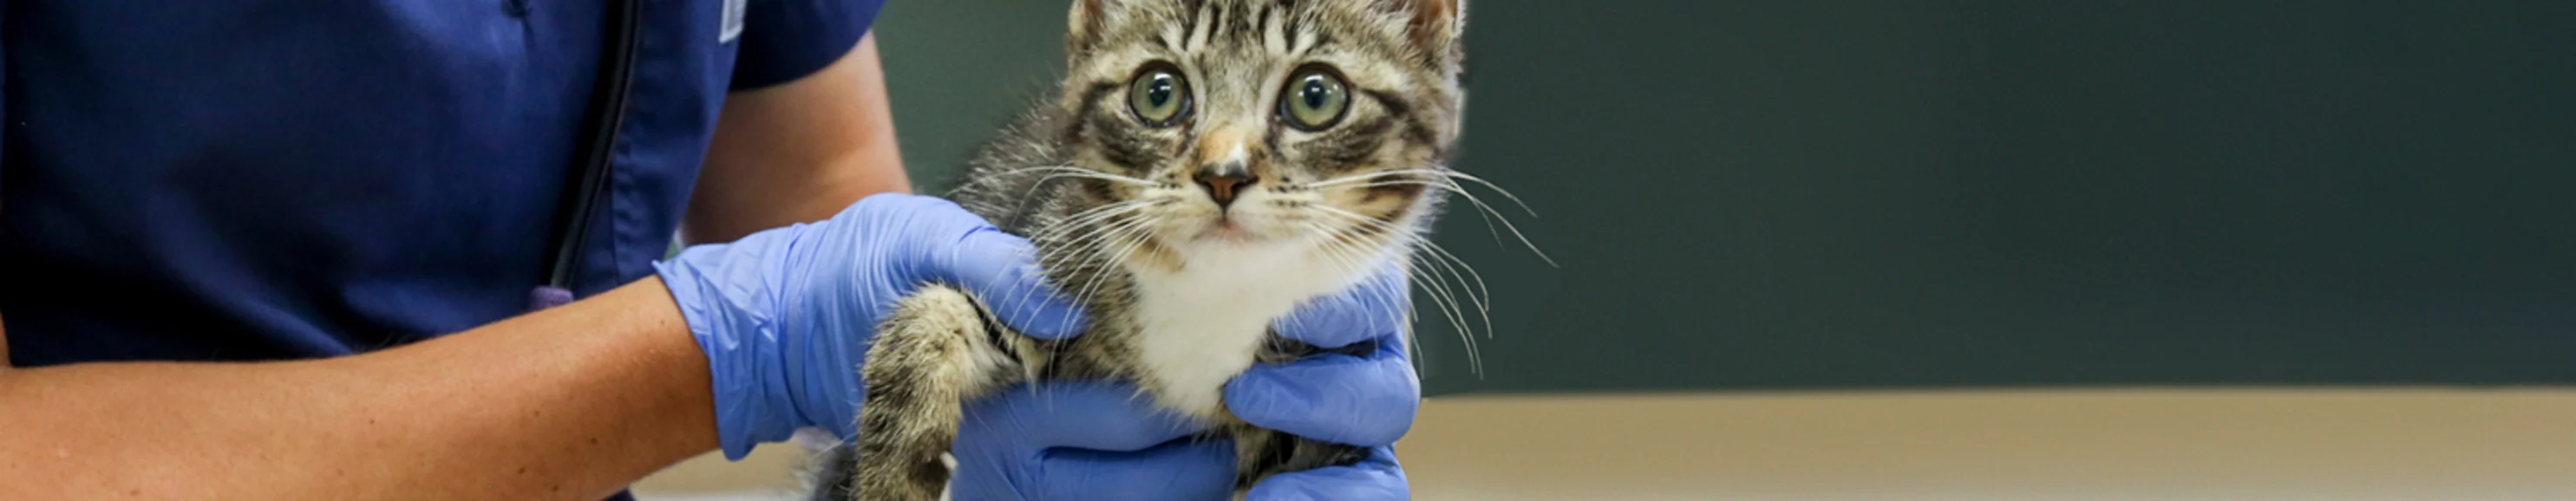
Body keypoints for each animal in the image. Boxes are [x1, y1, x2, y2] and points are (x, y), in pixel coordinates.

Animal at [814, 1, 1483, 496]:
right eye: (1158, 94)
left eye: (1316, 96)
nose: (1224, 174)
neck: (1216, 294)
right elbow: (929, 315)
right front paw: (890, 481)